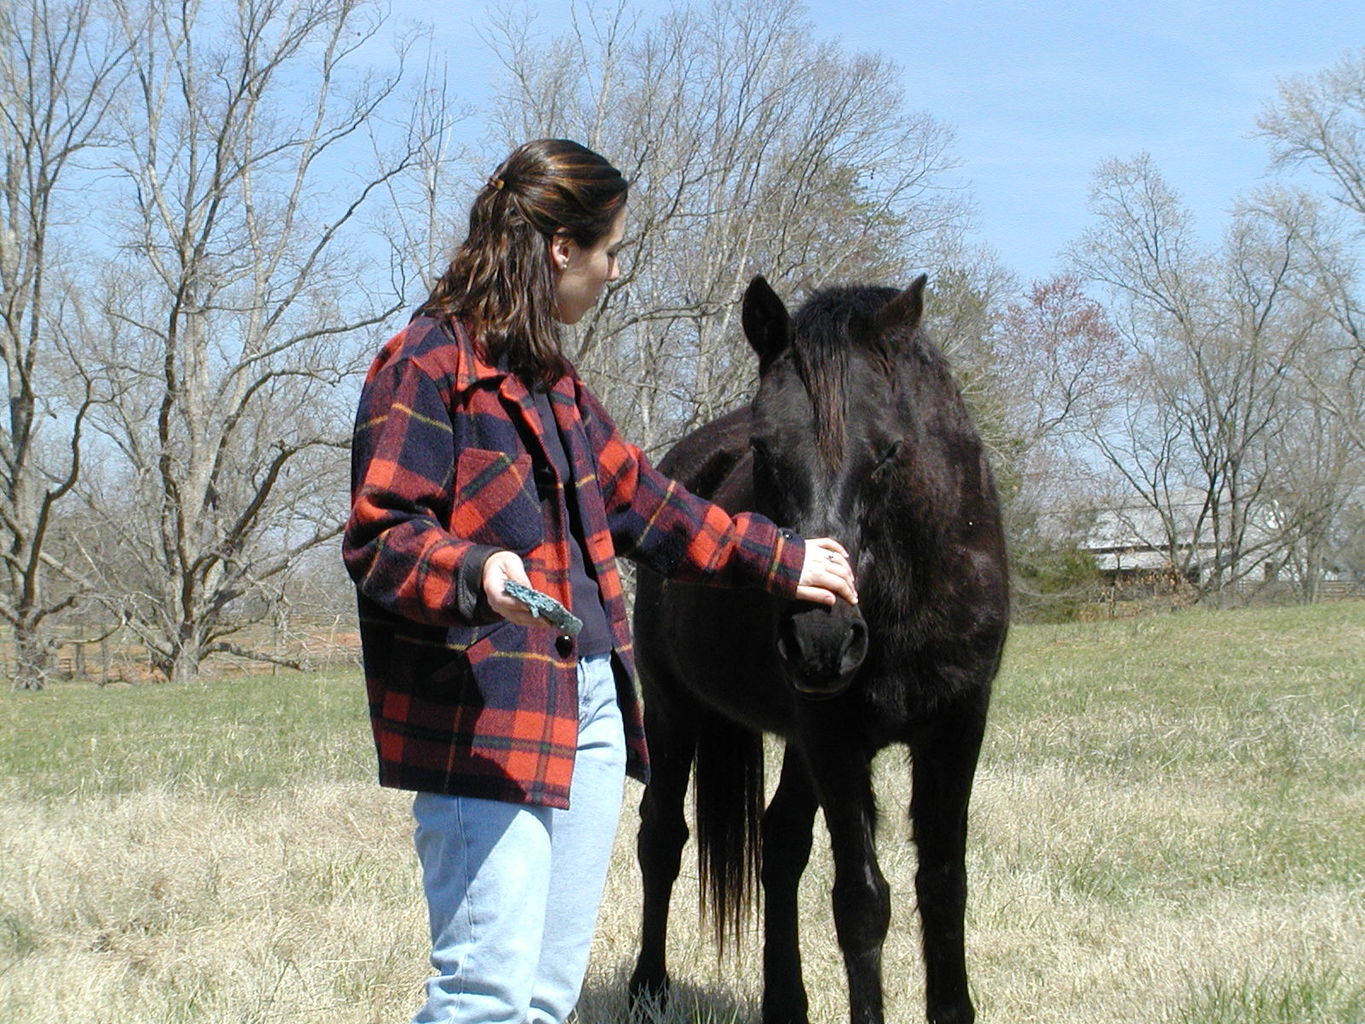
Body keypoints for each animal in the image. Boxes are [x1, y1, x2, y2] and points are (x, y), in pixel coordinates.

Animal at [625, 274, 1004, 1024]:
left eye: (889, 450)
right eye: (766, 450)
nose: (821, 637)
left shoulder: (956, 726)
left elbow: (943, 884)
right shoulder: (834, 736)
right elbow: (861, 903)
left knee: (779, 845)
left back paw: (784, 1004)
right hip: (673, 707)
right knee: (661, 838)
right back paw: (647, 987)